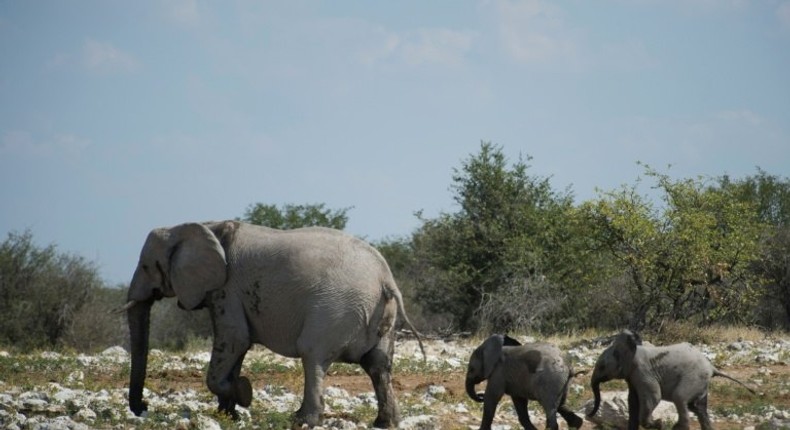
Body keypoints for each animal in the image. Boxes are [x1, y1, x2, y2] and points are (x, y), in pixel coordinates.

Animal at [120, 220, 424, 428]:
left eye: (146, 266)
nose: (142, 406)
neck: (202, 225)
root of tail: (385, 278)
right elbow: (236, 349)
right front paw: (227, 414)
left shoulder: (226, 289)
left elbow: (235, 340)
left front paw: (244, 393)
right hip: (380, 315)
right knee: (378, 365)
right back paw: (384, 423)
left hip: (335, 309)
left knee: (312, 355)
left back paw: (302, 420)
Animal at [592, 330, 756, 428]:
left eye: (601, 366)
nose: (589, 415)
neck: (632, 349)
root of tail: (712, 368)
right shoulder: (632, 377)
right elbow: (633, 402)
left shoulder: (643, 372)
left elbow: (653, 397)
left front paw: (658, 424)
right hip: (701, 382)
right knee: (698, 407)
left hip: (694, 377)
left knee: (680, 398)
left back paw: (675, 427)